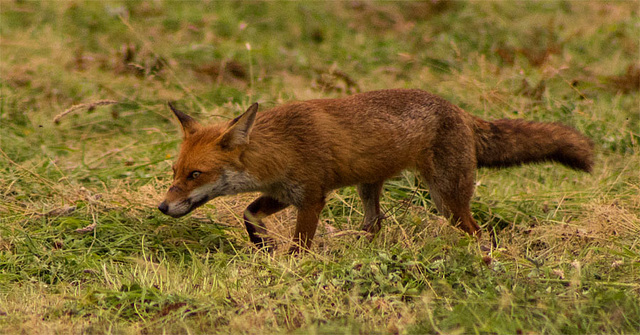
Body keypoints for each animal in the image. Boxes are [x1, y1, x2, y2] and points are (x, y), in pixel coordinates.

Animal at [159, 89, 596, 252]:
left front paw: (289, 261)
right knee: (376, 224)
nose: (162, 208)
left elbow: (300, 244)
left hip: (447, 199)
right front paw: (263, 246)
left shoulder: (312, 197)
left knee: (479, 232)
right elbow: (248, 213)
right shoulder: (284, 193)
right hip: (370, 189)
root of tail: (458, 109)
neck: (281, 148)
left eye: (195, 175)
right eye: (175, 171)